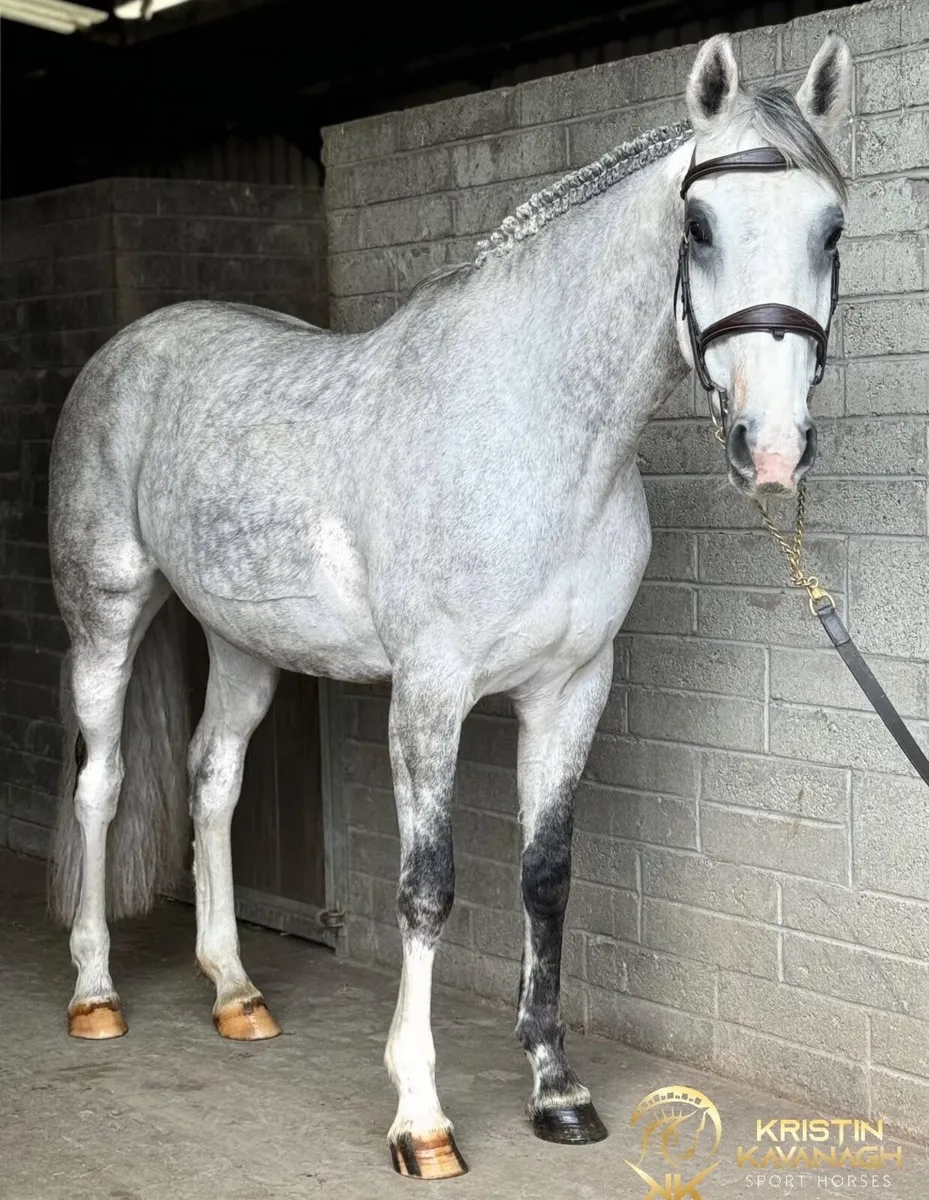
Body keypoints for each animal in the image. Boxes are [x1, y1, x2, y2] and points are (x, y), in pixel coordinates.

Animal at [48, 31, 851, 1180]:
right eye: (697, 227)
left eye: (831, 228)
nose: (771, 449)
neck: (535, 435)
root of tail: (131, 348)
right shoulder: (428, 693)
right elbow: (426, 888)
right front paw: (420, 1117)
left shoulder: (570, 688)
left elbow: (545, 875)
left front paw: (556, 1091)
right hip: (106, 615)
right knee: (102, 783)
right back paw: (96, 993)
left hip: (243, 640)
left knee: (211, 782)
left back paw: (237, 993)